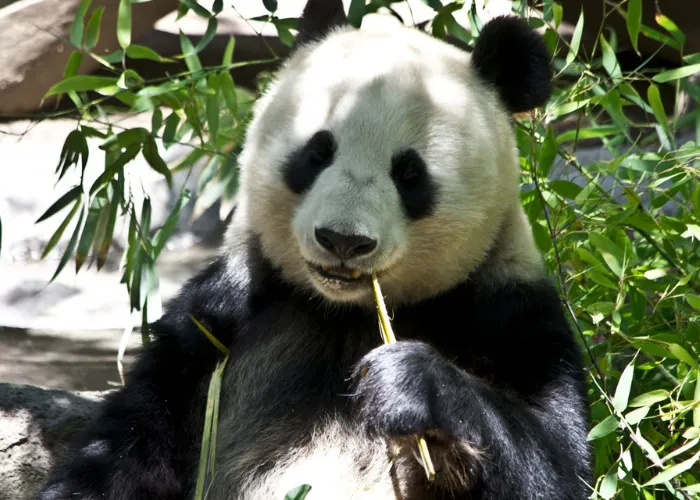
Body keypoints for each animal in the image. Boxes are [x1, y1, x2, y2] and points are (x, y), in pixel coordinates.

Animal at [37, 0, 592, 500]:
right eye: (317, 152)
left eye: (409, 174)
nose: (343, 240)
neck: (346, 312)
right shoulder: (218, 316)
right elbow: (128, 448)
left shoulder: (506, 311)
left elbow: (557, 464)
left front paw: (410, 383)